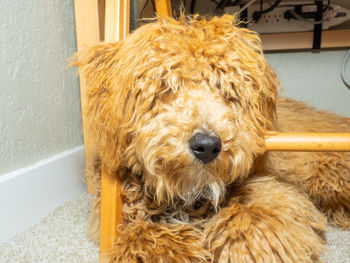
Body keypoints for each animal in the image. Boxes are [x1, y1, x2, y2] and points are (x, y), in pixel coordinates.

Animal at [72, 14, 348, 263]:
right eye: (166, 86)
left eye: (226, 89)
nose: (206, 146)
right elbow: (142, 238)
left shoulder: (272, 191)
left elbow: (257, 221)